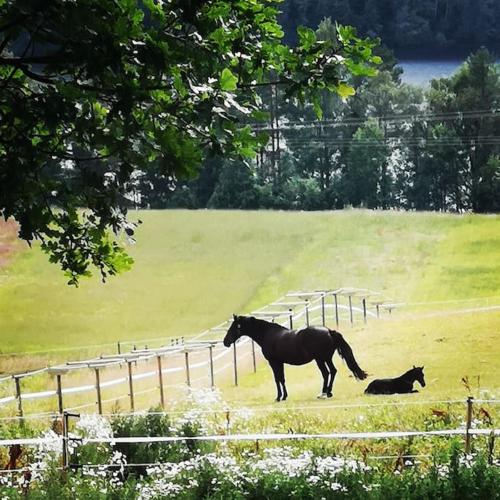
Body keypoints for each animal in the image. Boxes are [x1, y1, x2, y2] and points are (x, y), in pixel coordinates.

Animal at [223, 314, 368, 400]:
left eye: (234, 327)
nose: (225, 341)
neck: (267, 334)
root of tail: (328, 331)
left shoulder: (274, 362)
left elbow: (277, 379)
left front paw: (279, 397)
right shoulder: (280, 363)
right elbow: (282, 379)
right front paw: (284, 396)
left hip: (320, 359)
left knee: (327, 373)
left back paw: (324, 393)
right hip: (326, 358)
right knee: (332, 371)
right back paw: (328, 392)